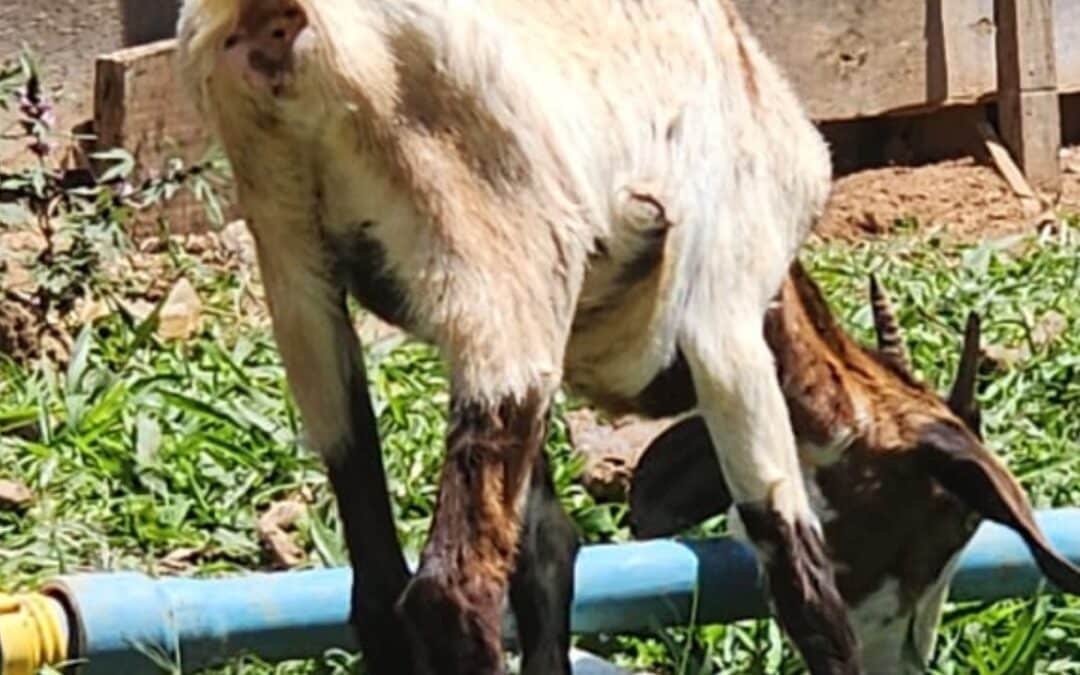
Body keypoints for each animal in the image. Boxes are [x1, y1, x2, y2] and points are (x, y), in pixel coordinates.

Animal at [174, 2, 851, 669]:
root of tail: (275, 22)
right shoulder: (725, 311)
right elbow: (802, 579)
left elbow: (546, 546)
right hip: (502, 259)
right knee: (450, 593)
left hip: (291, 249)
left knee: (377, 583)